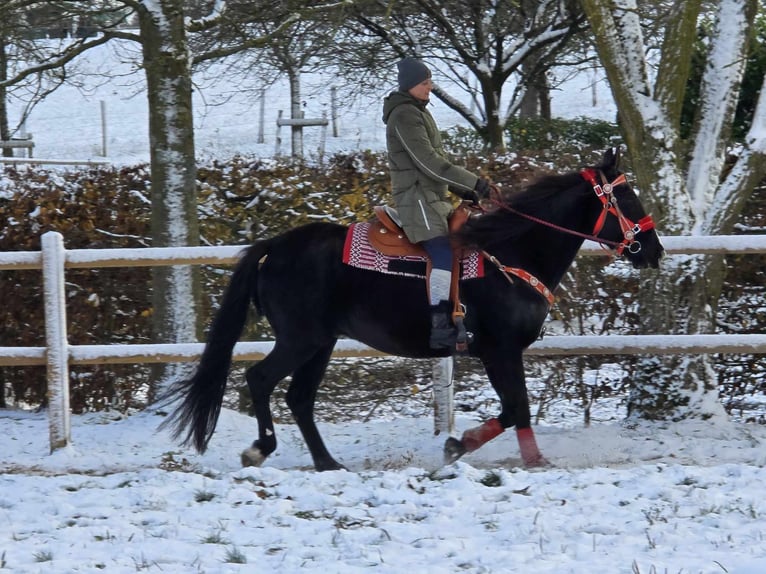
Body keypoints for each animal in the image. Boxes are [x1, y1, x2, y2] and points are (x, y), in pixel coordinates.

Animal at [160, 148, 664, 472]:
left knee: (299, 398)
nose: (654, 250)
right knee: (261, 380)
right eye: (627, 198)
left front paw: (461, 443)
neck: (511, 255)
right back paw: (262, 449)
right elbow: (517, 406)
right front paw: (528, 458)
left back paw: (327, 462)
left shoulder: (499, 353)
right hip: (301, 338)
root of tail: (275, 246)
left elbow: (510, 409)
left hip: (322, 342)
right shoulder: (500, 350)